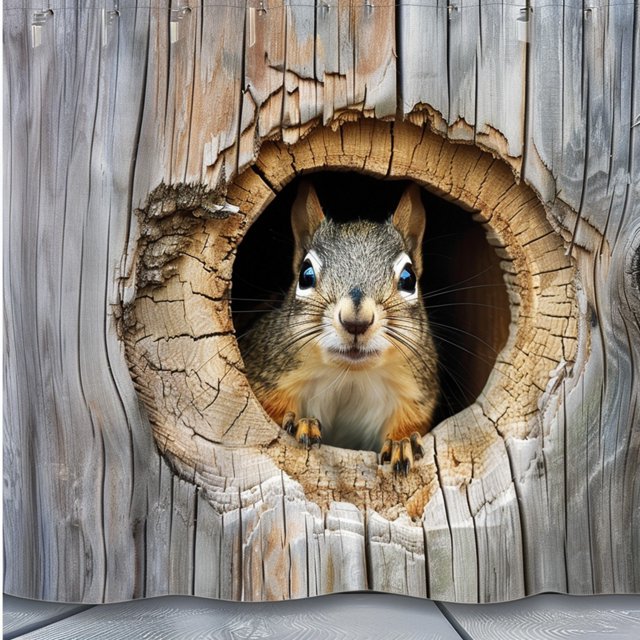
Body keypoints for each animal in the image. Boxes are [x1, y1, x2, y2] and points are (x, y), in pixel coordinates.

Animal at [240, 181, 439, 474]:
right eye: (305, 275)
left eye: (408, 278)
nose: (356, 321)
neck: (349, 376)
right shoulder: (270, 375)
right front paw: (300, 422)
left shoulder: (412, 394)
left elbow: (408, 424)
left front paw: (401, 443)